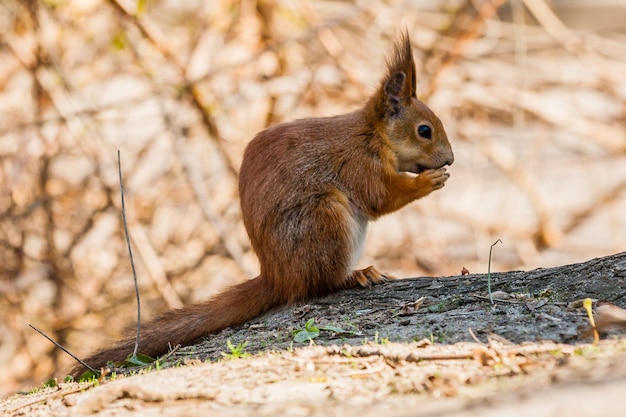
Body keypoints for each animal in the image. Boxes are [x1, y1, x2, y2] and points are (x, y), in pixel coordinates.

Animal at [72, 32, 454, 376]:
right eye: (424, 130)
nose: (450, 159)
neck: (374, 135)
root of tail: (276, 276)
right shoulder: (359, 163)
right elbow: (380, 197)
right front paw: (429, 181)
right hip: (323, 219)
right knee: (319, 284)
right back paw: (355, 275)